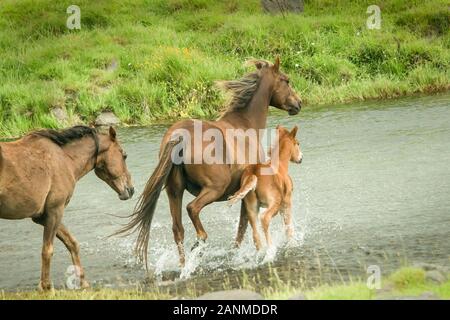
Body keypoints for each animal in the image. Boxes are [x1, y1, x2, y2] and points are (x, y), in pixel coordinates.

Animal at [0, 125, 134, 290]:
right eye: (124, 155)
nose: (131, 189)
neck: (65, 159)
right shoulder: (55, 211)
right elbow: (48, 250)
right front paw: (46, 287)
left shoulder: (42, 216)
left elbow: (72, 243)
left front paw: (83, 283)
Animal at [118, 56, 302, 266]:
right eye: (286, 80)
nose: (298, 103)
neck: (246, 124)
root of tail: (180, 137)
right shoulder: (244, 194)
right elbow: (242, 229)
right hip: (215, 188)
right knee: (193, 209)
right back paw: (200, 242)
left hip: (174, 190)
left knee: (178, 229)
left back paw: (184, 264)